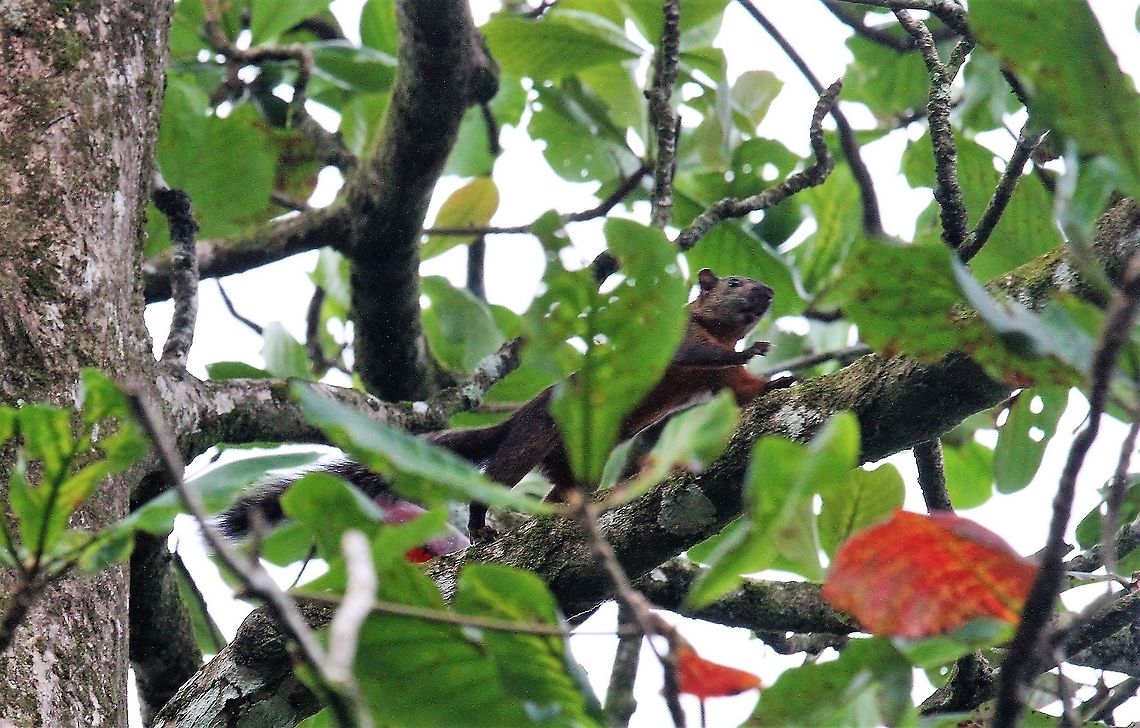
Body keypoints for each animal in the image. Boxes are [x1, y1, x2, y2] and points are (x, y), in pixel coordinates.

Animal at [216, 268, 792, 546]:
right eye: (734, 283)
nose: (767, 292)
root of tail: (515, 419)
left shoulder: (717, 384)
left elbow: (741, 388)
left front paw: (777, 382)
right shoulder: (678, 343)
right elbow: (708, 356)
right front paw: (753, 350)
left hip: (569, 458)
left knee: (561, 486)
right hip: (530, 441)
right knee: (495, 477)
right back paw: (479, 525)